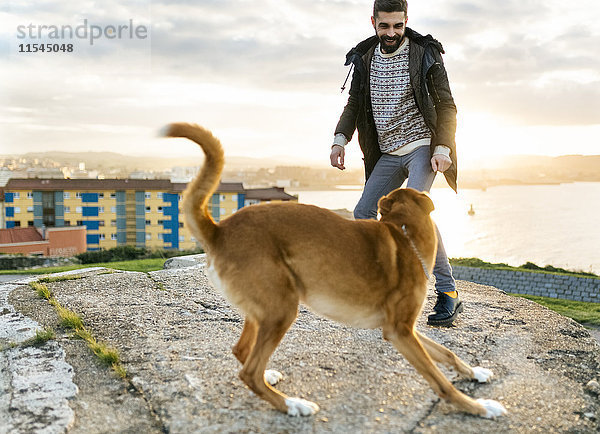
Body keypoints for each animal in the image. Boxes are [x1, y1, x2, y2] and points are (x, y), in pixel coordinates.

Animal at [163, 121, 506, 418]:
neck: (403, 233)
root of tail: (220, 230)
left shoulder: (405, 329)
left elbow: (447, 354)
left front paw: (475, 372)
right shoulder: (399, 332)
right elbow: (441, 381)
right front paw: (478, 407)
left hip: (264, 309)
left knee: (241, 351)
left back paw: (270, 376)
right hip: (282, 309)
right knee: (249, 373)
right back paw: (292, 404)